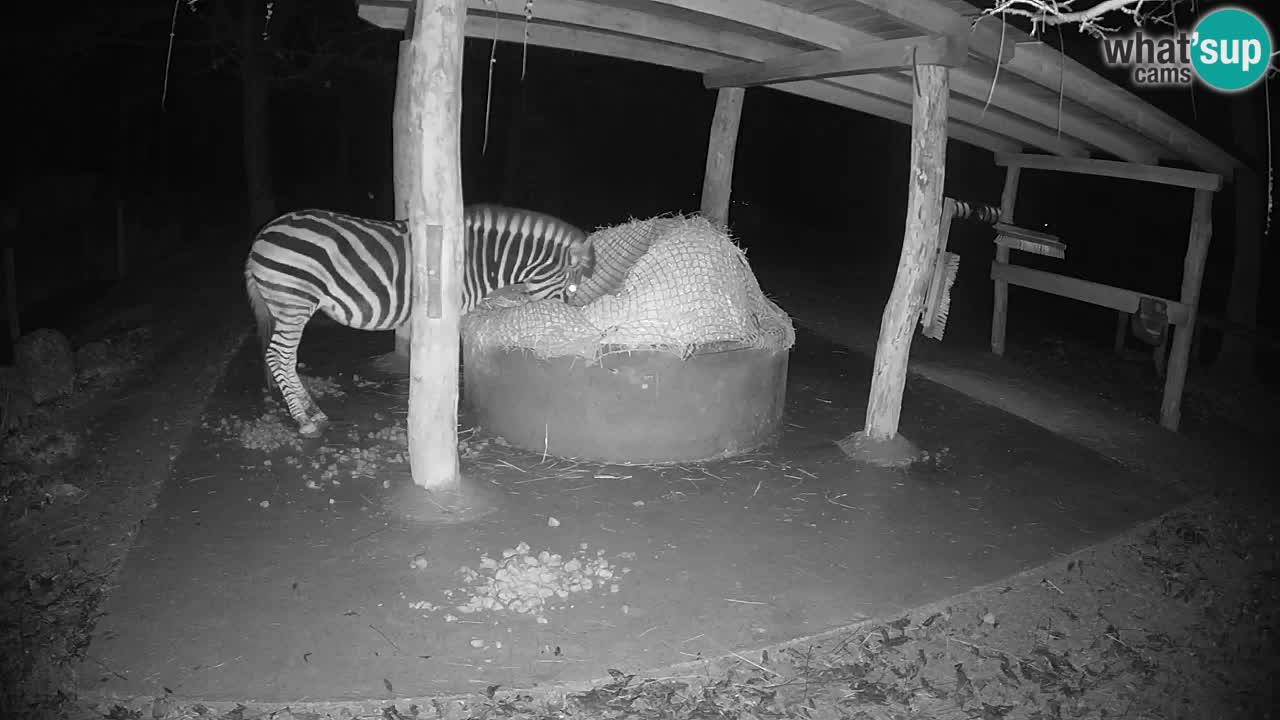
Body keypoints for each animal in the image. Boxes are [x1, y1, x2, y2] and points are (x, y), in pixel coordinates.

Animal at [244, 203, 595, 437]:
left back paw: (313, 412)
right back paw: (304, 421)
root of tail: (263, 234)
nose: (571, 320)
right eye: (571, 289)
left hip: (289, 306)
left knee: (287, 359)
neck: (482, 260)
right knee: (278, 356)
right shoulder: (454, 309)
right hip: (294, 302)